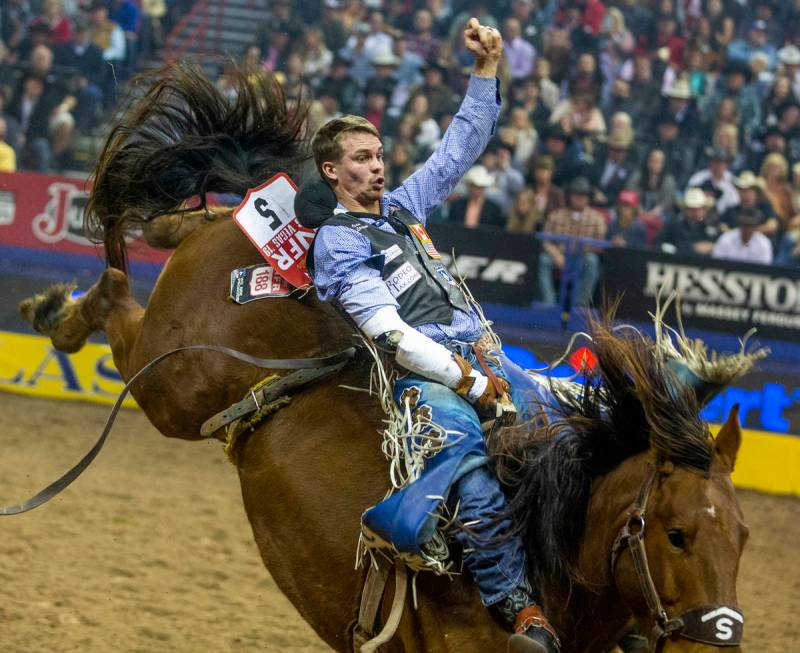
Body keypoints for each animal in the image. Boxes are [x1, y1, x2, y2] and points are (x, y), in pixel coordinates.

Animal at [14, 66, 764, 652]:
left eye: (743, 535)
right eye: (674, 535)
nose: (718, 640)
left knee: (179, 228)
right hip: (170, 377)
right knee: (117, 295)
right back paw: (58, 312)